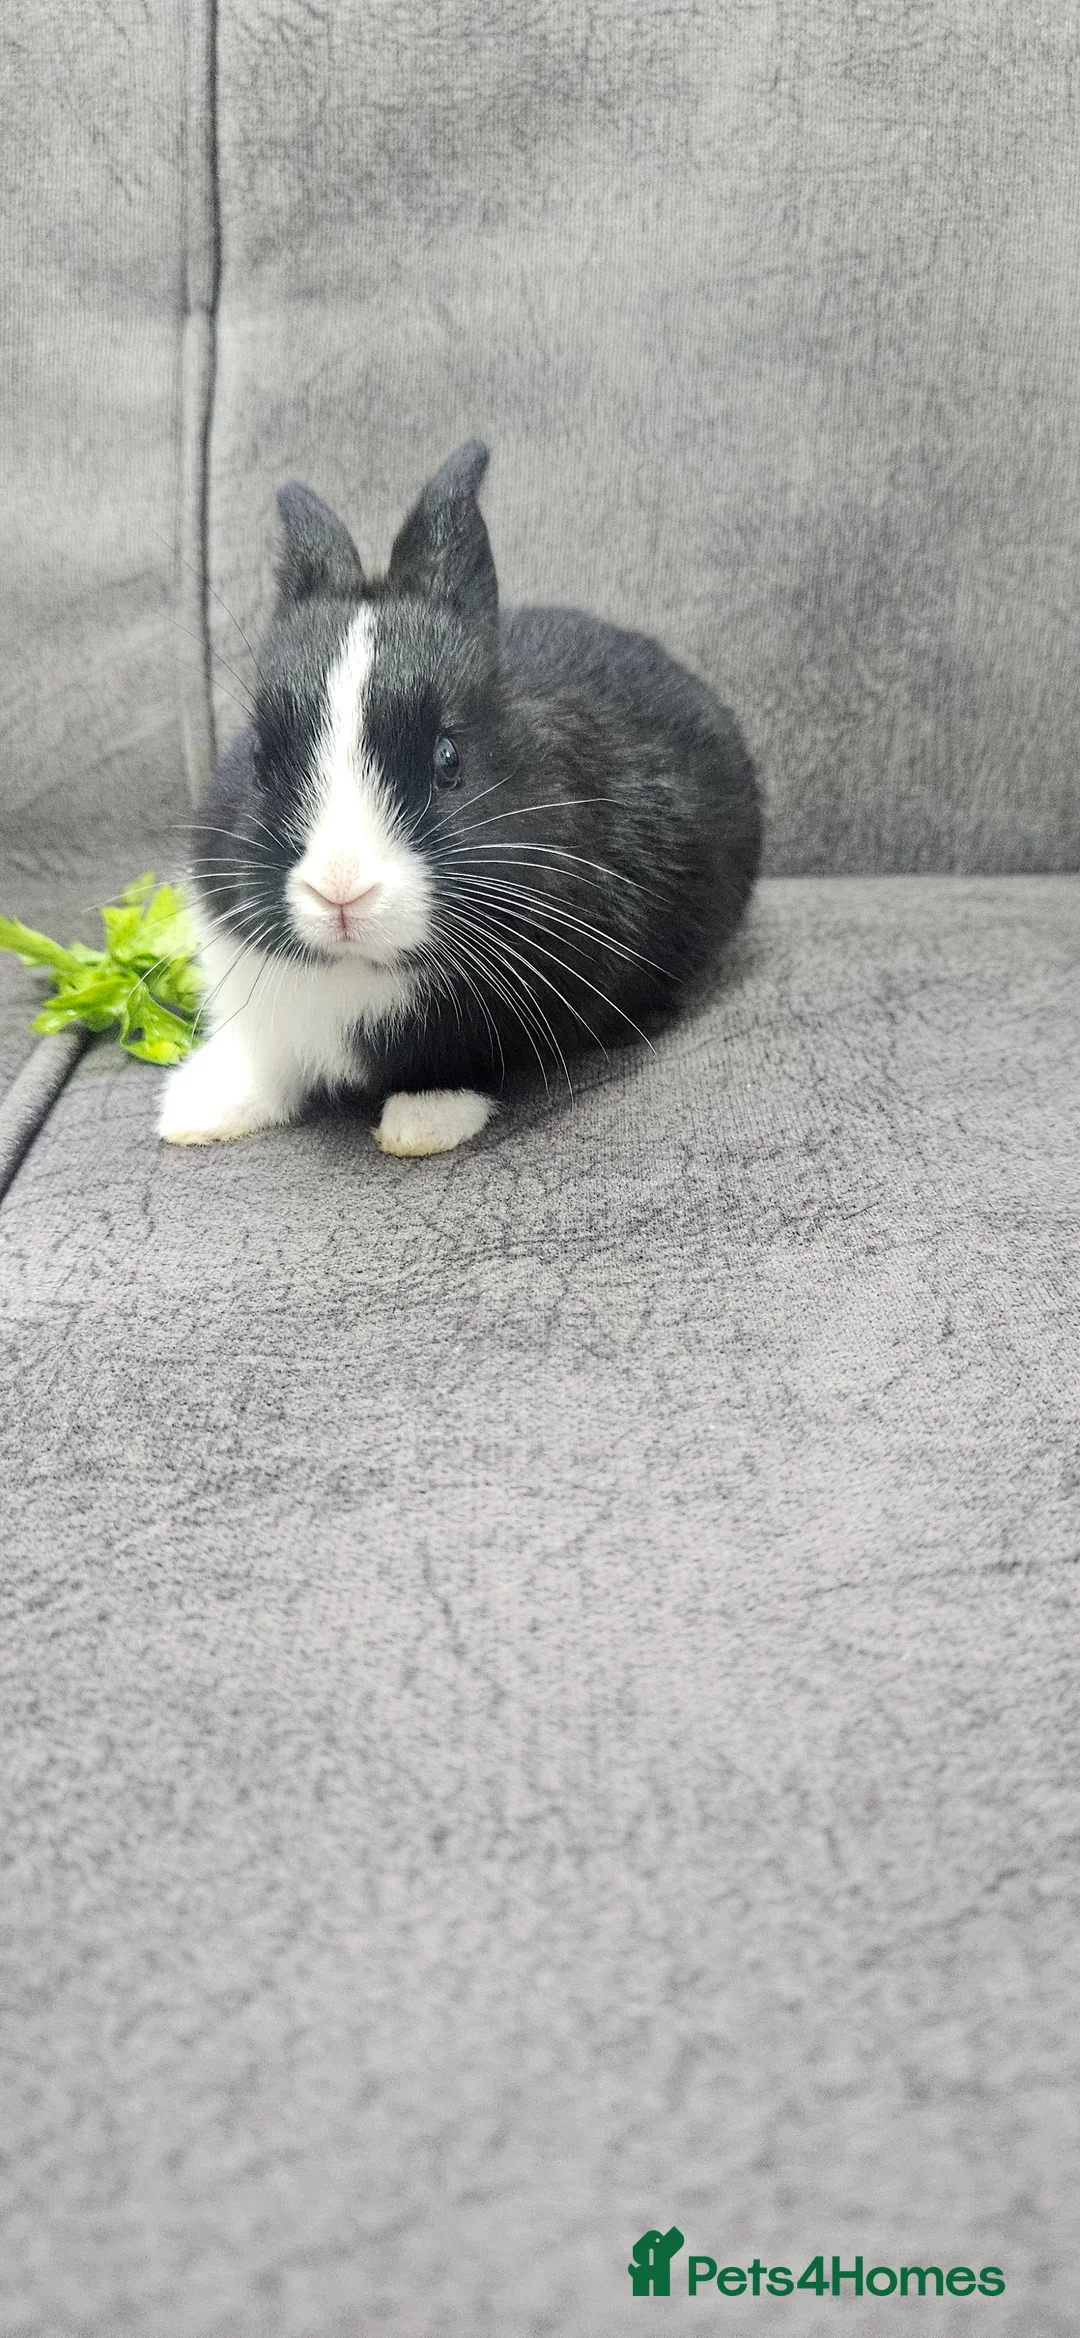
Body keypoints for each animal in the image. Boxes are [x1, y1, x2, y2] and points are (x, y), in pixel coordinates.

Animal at [158, 441, 762, 1157]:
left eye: (449, 758)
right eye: (258, 757)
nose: (340, 890)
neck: (361, 969)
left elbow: (463, 1062)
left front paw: (422, 1124)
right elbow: (265, 1062)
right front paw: (194, 1111)